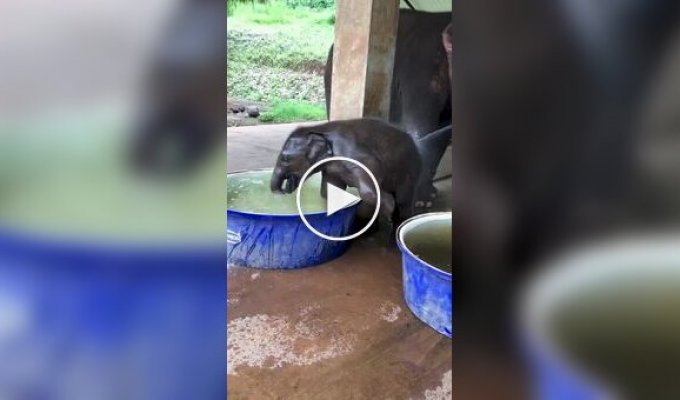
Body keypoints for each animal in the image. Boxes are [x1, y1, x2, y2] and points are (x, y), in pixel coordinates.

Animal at [270, 118, 420, 225]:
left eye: (285, 158)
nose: (281, 192)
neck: (319, 128)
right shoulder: (330, 169)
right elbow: (327, 192)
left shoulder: (359, 159)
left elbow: (368, 192)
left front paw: (389, 211)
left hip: (409, 170)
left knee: (403, 199)